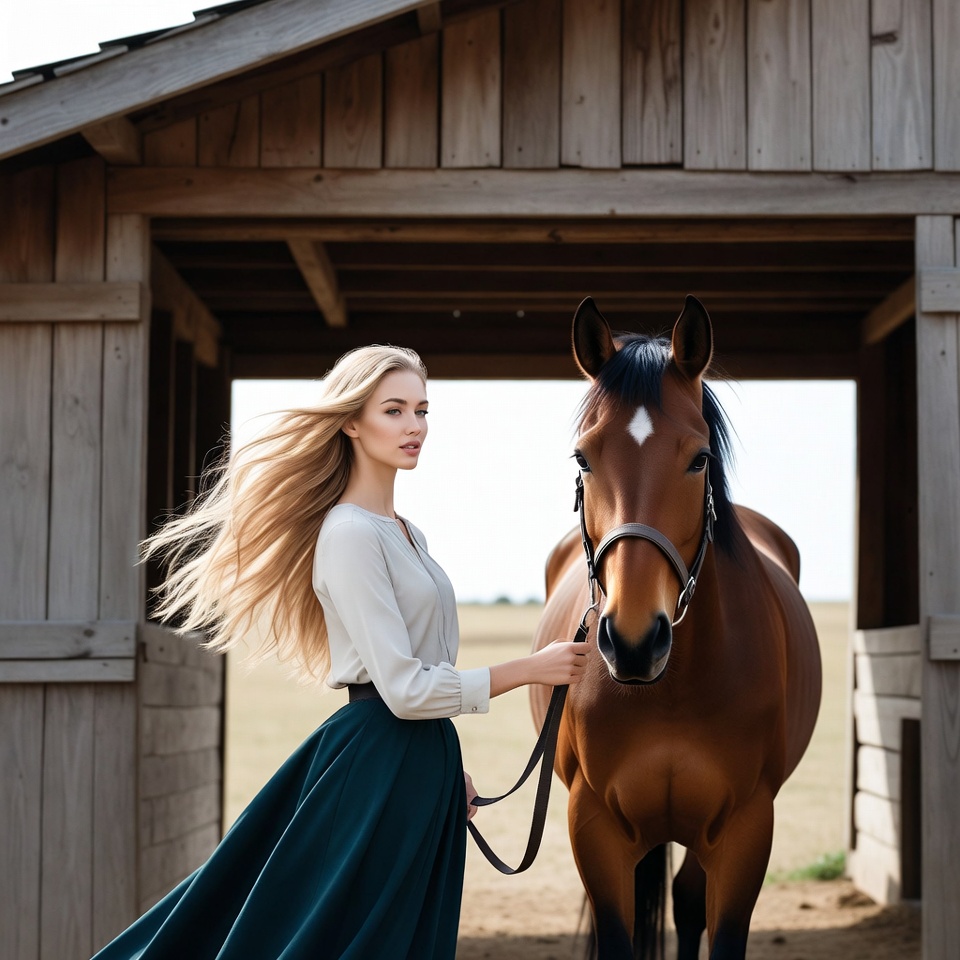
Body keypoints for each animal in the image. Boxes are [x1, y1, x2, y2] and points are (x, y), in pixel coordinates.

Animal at [531, 296, 822, 960]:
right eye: (583, 457)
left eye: (699, 459)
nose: (634, 642)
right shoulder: (594, 825)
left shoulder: (746, 831)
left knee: (688, 904)